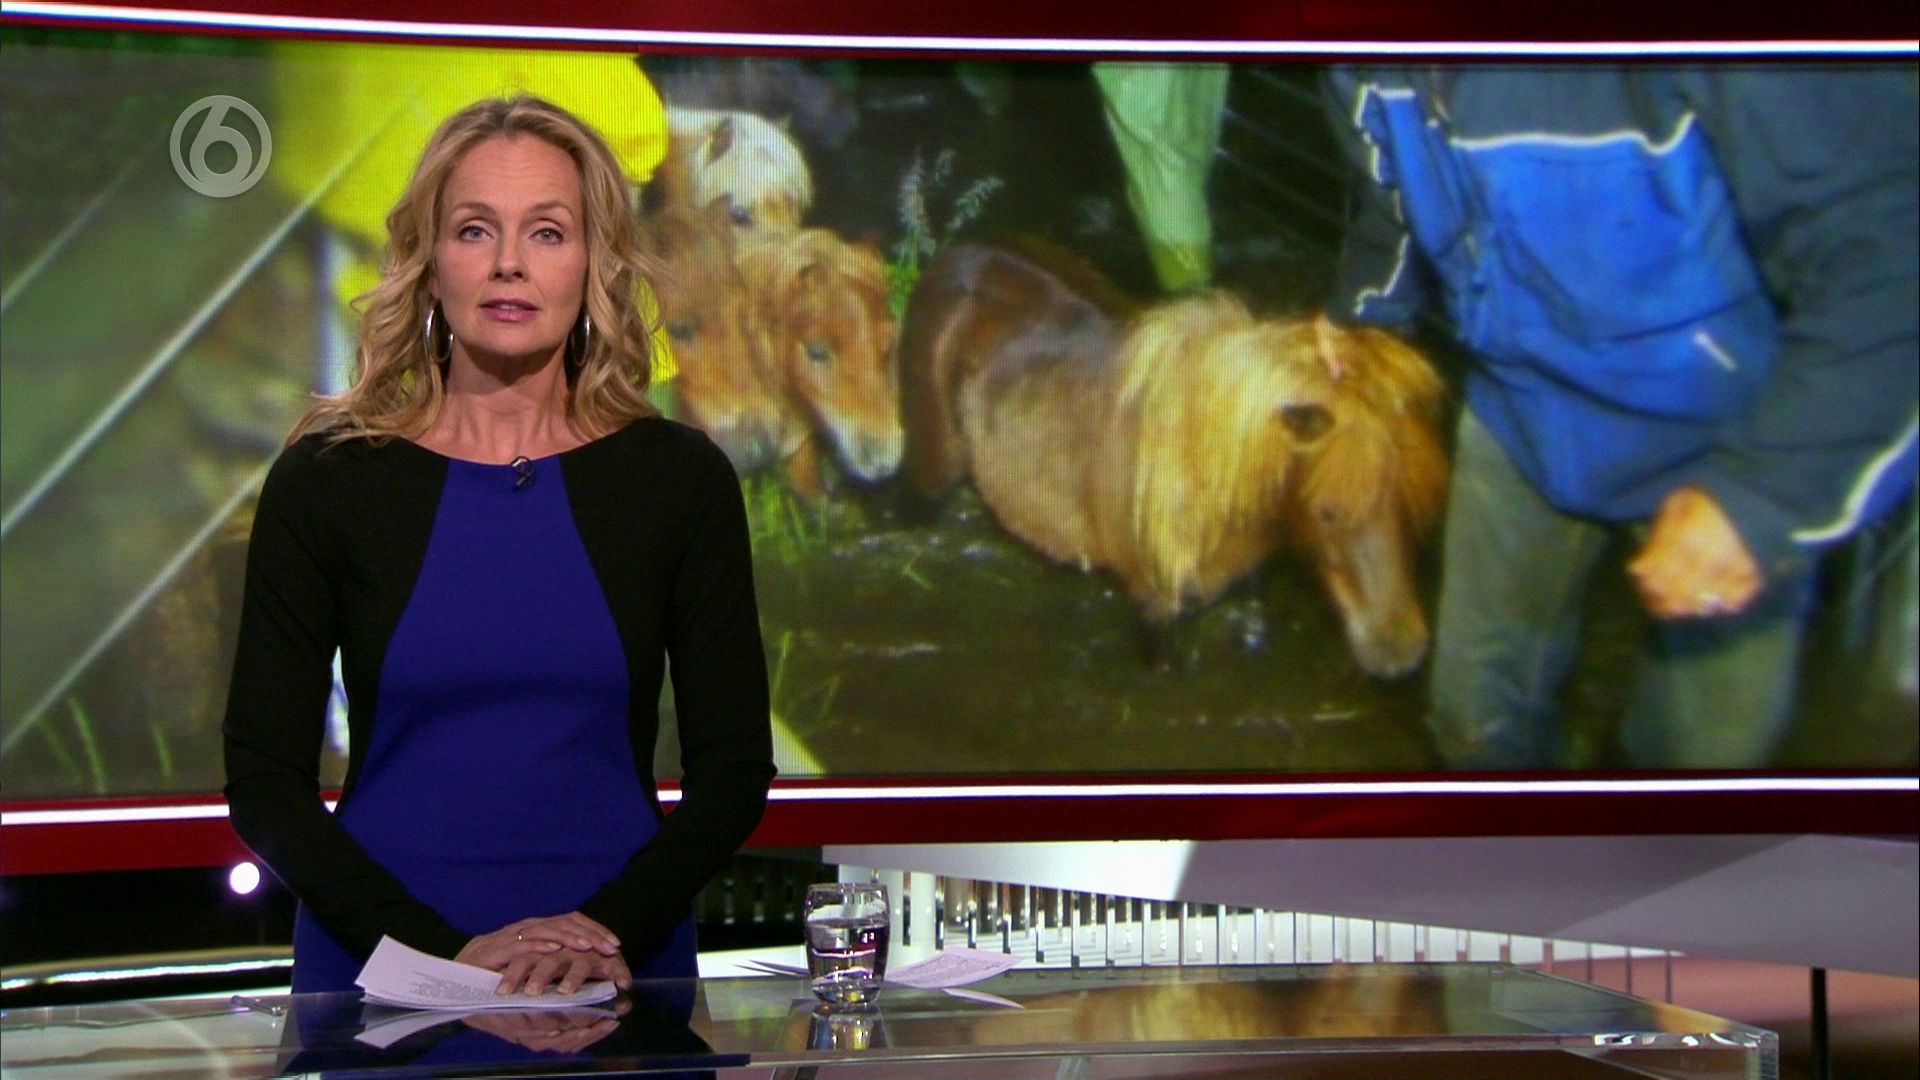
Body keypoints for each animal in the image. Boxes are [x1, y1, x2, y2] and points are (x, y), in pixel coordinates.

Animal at [897, 243, 1448, 678]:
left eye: (1409, 502)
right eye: (1327, 512)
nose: (1400, 652)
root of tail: (955, 255)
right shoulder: (1155, 608)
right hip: (930, 475)